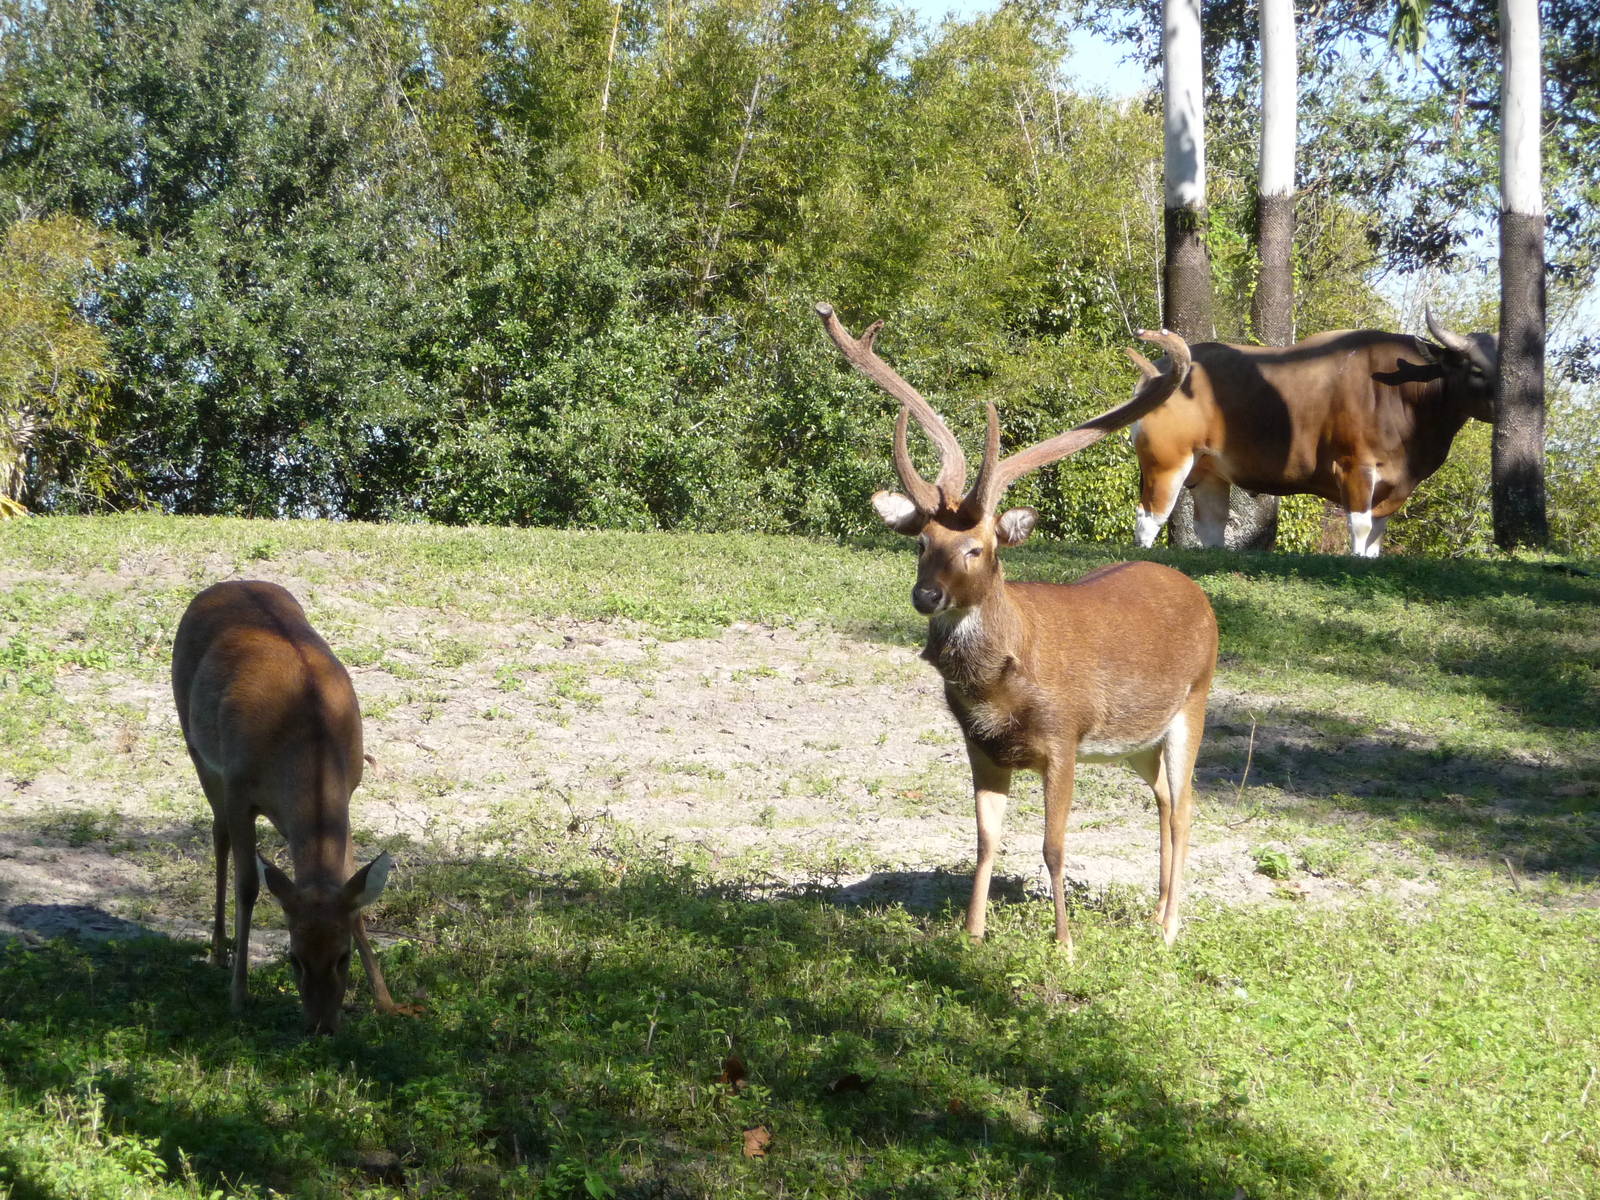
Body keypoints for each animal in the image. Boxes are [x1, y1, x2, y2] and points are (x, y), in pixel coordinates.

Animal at [172, 580, 405, 1033]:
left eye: (342, 957)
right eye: (293, 958)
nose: (320, 1026)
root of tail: (226, 583)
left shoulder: (350, 787)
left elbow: (352, 889)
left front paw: (386, 1000)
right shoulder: (239, 787)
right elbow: (248, 886)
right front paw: (239, 996)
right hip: (195, 744)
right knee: (218, 833)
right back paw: (218, 949)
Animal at [817, 302, 1218, 954]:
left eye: (977, 548)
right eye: (923, 543)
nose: (926, 595)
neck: (999, 683)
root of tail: (1197, 594)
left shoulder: (1065, 737)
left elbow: (1053, 846)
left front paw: (1066, 946)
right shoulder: (981, 746)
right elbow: (985, 841)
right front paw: (972, 933)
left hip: (1194, 700)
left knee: (1184, 806)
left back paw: (1169, 928)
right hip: (1140, 739)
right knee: (1162, 797)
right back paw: (1157, 911)